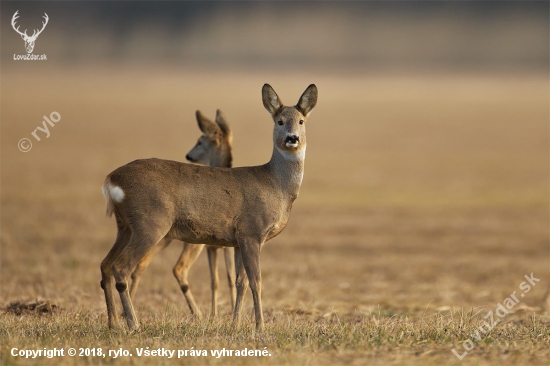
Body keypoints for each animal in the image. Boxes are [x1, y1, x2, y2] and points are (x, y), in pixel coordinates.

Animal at [129, 109, 237, 318]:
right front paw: (217, 314)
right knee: (177, 268)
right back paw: (197, 314)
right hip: (184, 244)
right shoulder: (213, 247)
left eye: (200, 141)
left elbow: (223, 280)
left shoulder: (220, 248)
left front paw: (219, 314)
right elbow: (220, 280)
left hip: (165, 241)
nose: (189, 155)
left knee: (140, 266)